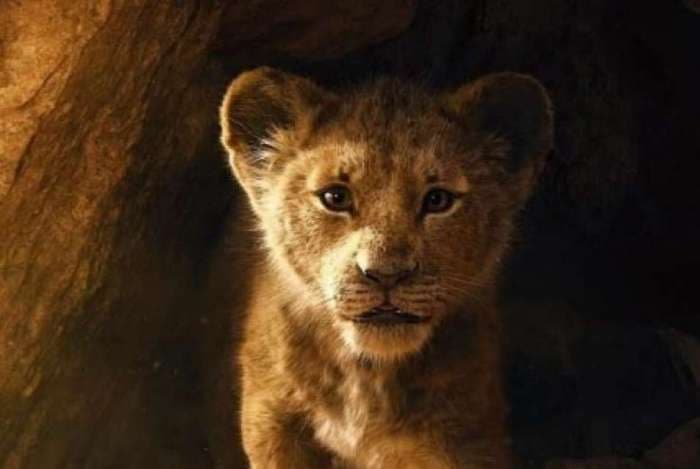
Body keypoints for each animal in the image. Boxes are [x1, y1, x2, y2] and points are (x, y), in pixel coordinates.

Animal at [219, 67, 553, 468]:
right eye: (335, 197)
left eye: (438, 200)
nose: (386, 274)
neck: (366, 376)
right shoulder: (272, 420)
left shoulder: (464, 436)